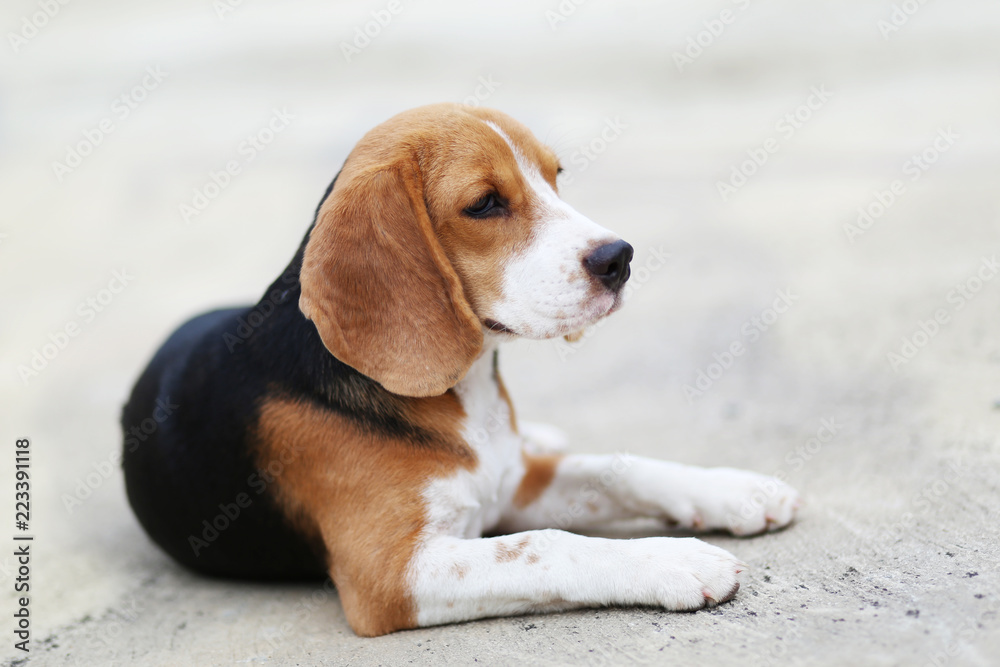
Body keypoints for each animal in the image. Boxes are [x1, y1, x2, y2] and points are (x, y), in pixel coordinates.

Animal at [121, 103, 800, 636]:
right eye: (485, 204)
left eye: (556, 177)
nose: (620, 258)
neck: (466, 394)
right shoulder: (393, 575)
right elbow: (547, 546)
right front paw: (674, 561)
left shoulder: (516, 485)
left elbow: (619, 468)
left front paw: (736, 492)